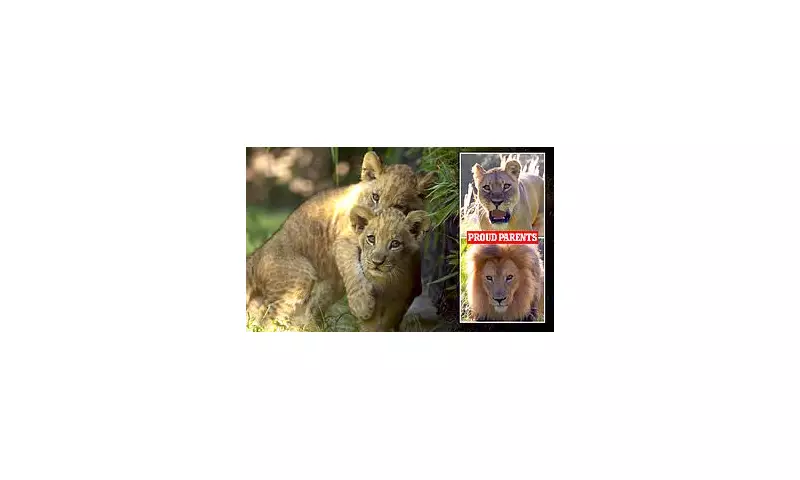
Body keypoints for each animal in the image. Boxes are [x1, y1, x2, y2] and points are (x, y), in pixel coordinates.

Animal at [246, 152, 435, 330]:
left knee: (308, 308)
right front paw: (361, 305)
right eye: (375, 197)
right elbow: (352, 270)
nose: (376, 220)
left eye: (399, 206)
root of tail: (258, 253)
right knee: (268, 318)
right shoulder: (344, 241)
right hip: (298, 278)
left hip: (330, 285)